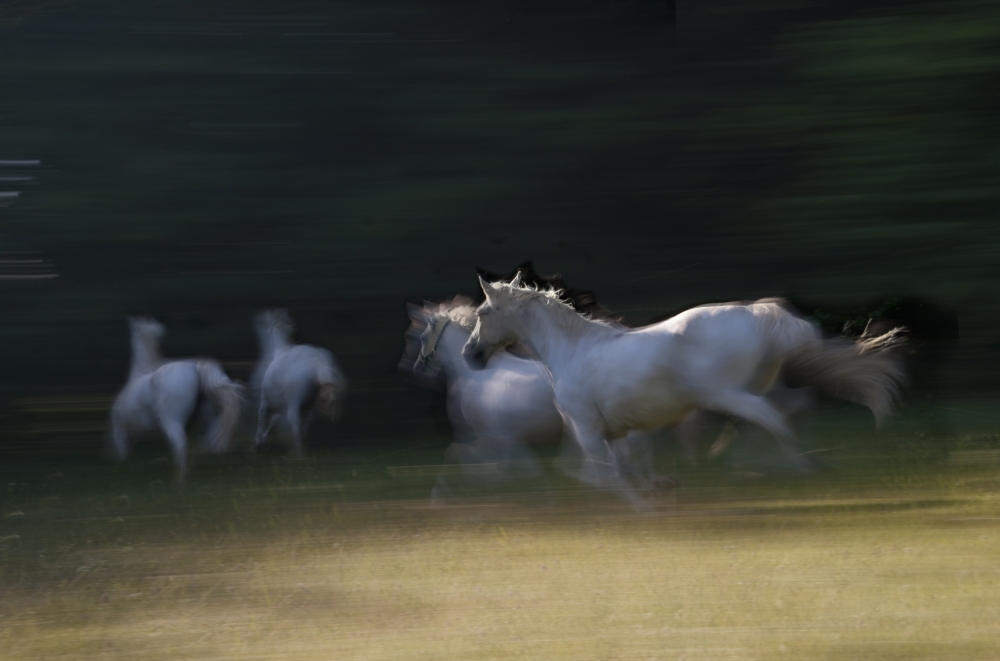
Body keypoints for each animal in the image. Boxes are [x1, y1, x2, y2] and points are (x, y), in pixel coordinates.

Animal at [110, 316, 245, 480]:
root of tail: (195, 366)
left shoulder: (120, 431)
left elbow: (122, 455)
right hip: (209, 416)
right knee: (213, 439)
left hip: (172, 421)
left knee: (181, 445)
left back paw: (179, 480)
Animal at [254, 308, 348, 454]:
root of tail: (319, 361)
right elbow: (273, 423)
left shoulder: (266, 403)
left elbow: (263, 421)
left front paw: (258, 444)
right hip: (310, 408)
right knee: (302, 430)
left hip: (294, 405)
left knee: (297, 428)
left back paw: (299, 455)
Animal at [400, 296, 672, 500]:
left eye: (419, 337)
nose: (415, 368)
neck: (475, 377)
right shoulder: (508, 442)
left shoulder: (499, 441)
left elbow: (460, 457)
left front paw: (438, 496)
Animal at [462, 276, 908, 508]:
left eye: (483, 312)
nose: (471, 354)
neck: (571, 350)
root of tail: (760, 312)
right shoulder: (617, 431)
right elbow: (622, 467)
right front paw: (658, 489)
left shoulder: (588, 431)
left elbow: (610, 475)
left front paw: (642, 507)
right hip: (749, 391)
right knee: (768, 422)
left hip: (729, 395)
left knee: (771, 420)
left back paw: (800, 470)